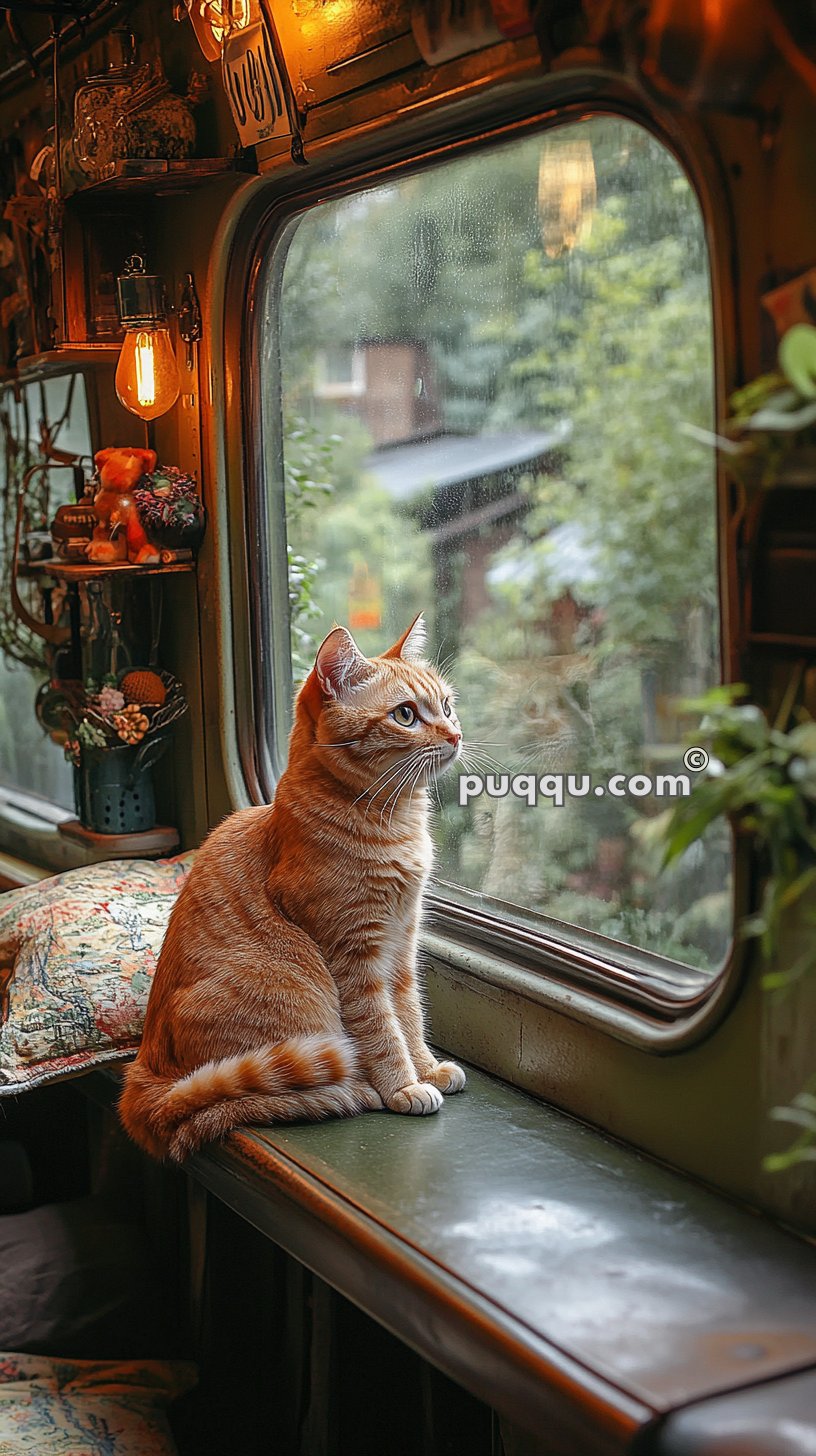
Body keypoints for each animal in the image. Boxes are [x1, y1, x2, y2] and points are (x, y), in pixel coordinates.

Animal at [118, 614, 469, 1158]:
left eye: (447, 706)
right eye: (406, 715)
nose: (454, 734)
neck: (393, 823)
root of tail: (143, 1072)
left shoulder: (401, 945)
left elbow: (409, 1014)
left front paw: (426, 1068)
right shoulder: (355, 957)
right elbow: (382, 1028)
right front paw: (404, 1085)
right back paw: (362, 1090)